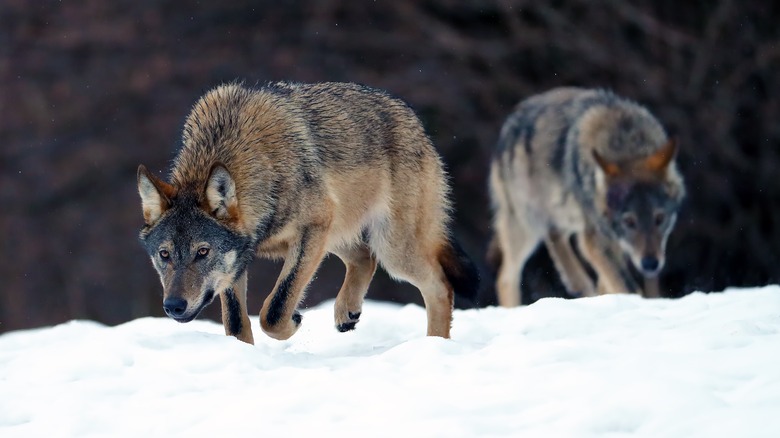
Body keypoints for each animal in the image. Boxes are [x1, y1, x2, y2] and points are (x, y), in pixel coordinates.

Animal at [137, 80, 478, 344]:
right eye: (164, 254)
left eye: (203, 252)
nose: (174, 306)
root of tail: (414, 120)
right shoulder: (240, 259)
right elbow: (235, 323)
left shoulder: (311, 229)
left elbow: (274, 310)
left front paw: (293, 322)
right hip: (339, 233)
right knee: (364, 258)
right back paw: (347, 312)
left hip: (390, 248)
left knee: (438, 285)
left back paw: (434, 347)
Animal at [490, 87, 684, 306]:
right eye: (629, 221)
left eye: (659, 218)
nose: (650, 264)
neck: (625, 144)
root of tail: (509, 124)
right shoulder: (596, 239)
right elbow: (627, 286)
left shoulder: (610, 240)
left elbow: (609, 282)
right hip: (528, 225)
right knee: (506, 277)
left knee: (555, 235)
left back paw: (578, 282)